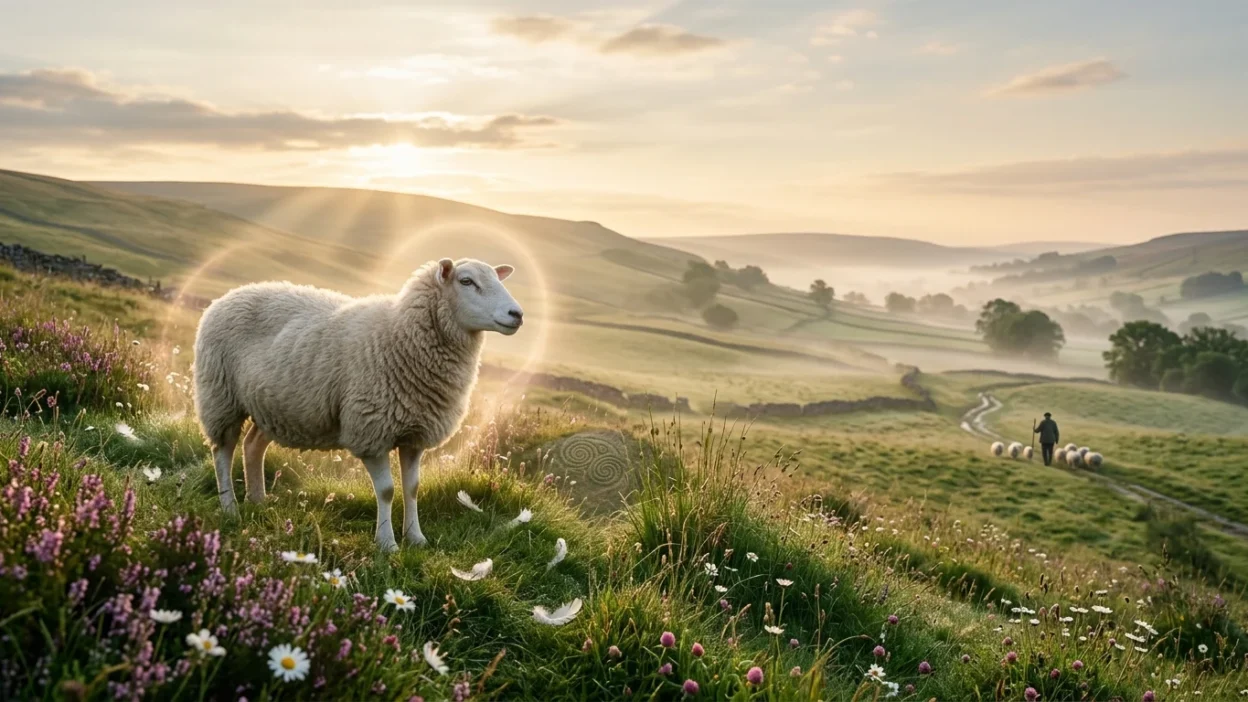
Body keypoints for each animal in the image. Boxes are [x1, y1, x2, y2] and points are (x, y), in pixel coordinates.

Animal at [193, 258, 523, 551]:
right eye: (466, 281)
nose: (517, 314)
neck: (400, 335)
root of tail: (231, 294)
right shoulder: (371, 430)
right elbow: (387, 491)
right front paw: (387, 544)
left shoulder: (415, 434)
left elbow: (413, 488)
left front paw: (416, 538)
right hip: (220, 397)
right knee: (222, 451)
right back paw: (230, 508)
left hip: (273, 405)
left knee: (252, 445)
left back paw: (258, 501)